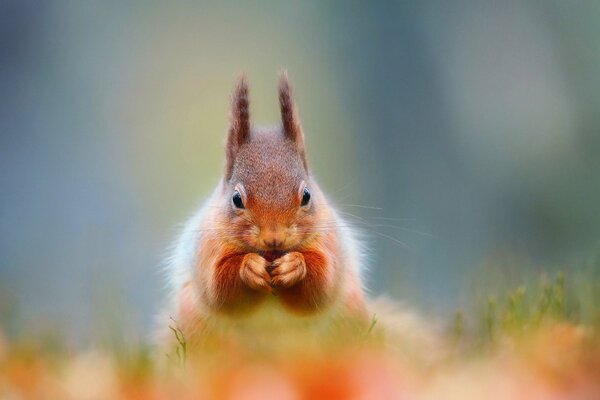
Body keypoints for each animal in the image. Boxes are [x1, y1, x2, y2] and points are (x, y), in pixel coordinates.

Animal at [159, 72, 368, 354]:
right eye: (236, 199)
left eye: (306, 195)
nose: (274, 239)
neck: (270, 255)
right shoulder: (207, 249)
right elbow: (219, 289)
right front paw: (249, 267)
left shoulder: (330, 242)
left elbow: (322, 284)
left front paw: (295, 266)